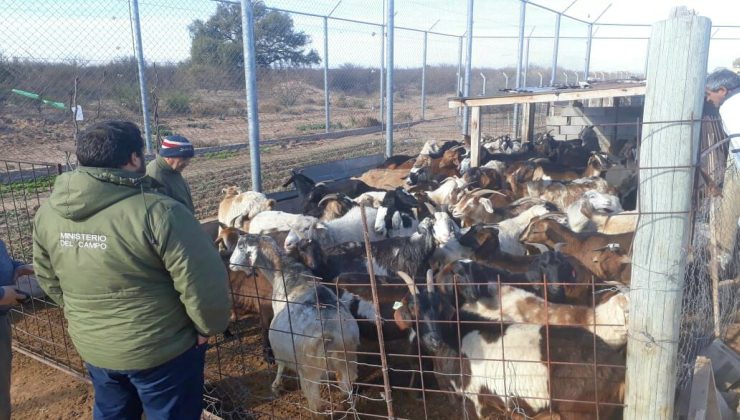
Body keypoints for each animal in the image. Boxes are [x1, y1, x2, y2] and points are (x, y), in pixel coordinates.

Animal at [230, 235, 360, 412]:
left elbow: (280, 364)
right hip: (347, 361)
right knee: (347, 388)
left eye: (241, 246)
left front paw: (276, 385)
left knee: (315, 402)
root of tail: (331, 333)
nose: (230, 264)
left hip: (308, 370)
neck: (284, 272)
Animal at [394, 270, 624, 418]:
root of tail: (616, 366)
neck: (455, 338)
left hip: (581, 410)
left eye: (442, 308)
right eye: (413, 310)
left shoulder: (474, 400)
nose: (434, 340)